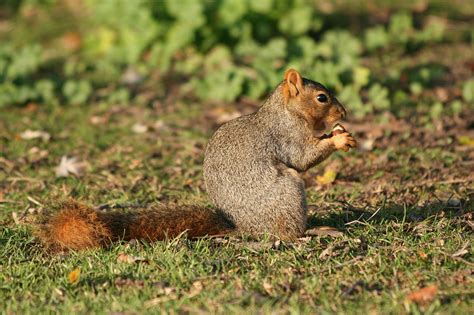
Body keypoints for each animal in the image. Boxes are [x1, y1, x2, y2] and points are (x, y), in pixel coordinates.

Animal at [38, 69, 356, 252]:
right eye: (322, 97)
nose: (344, 113)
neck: (287, 112)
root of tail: (242, 228)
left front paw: (340, 133)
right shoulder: (287, 136)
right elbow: (302, 158)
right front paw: (338, 139)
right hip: (288, 192)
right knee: (287, 233)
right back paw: (313, 231)